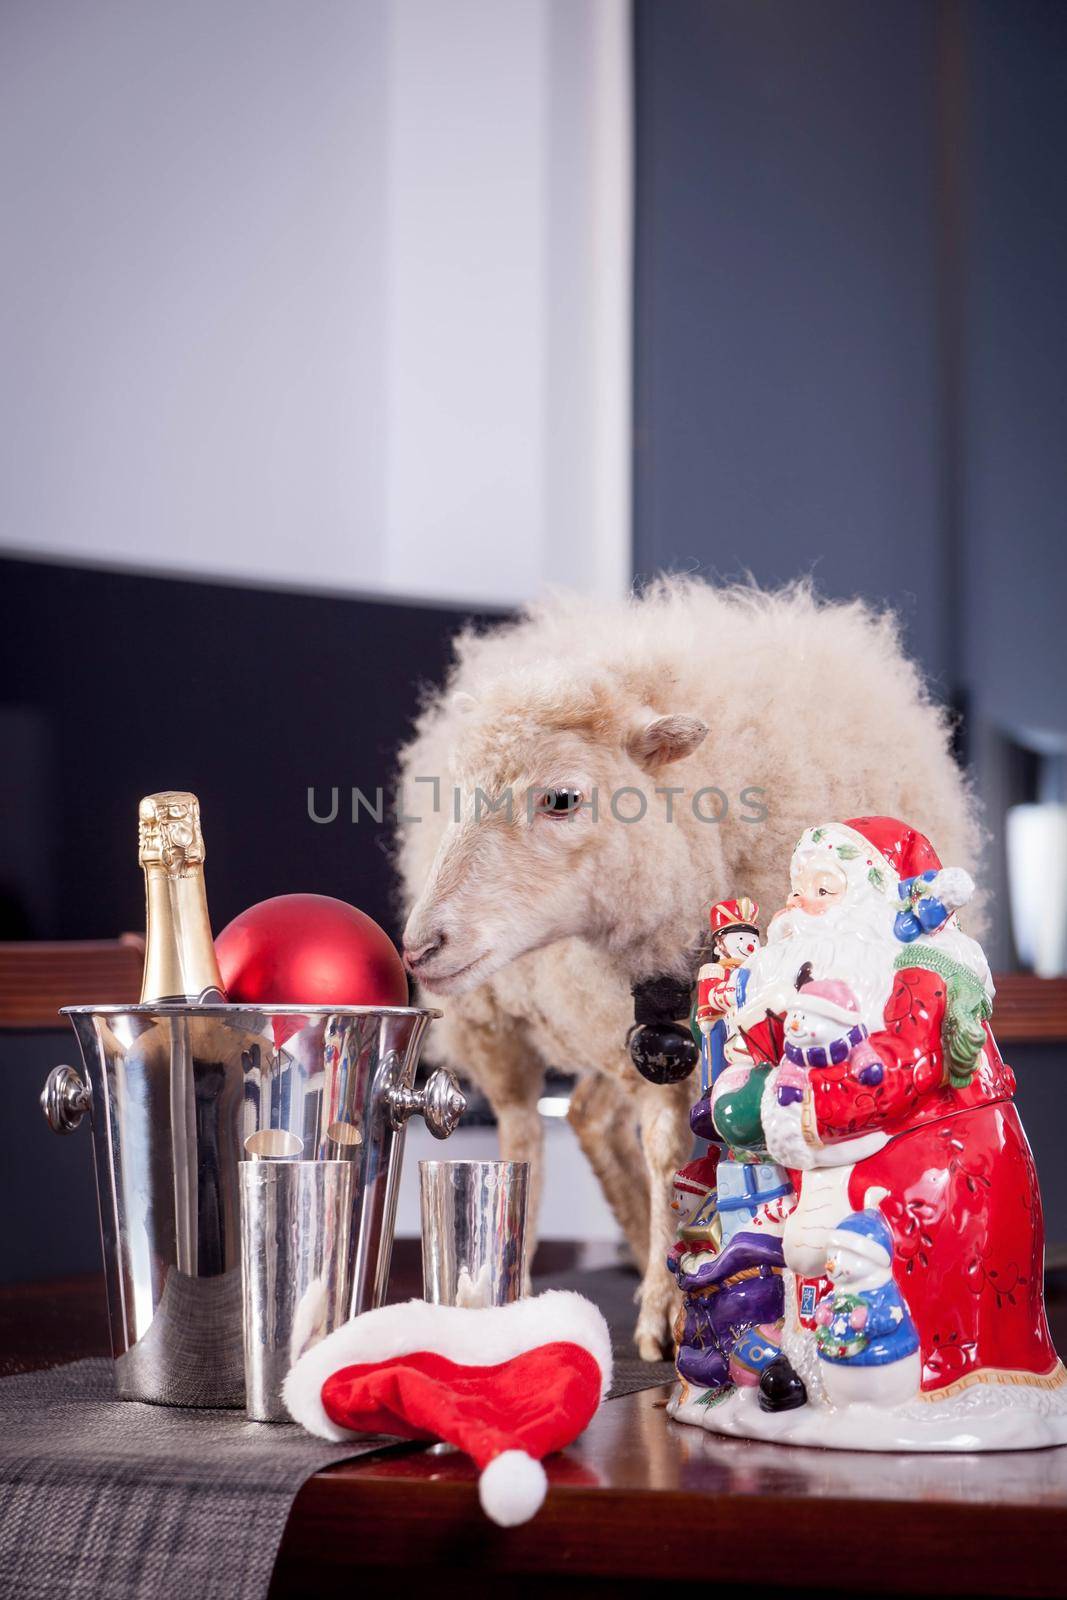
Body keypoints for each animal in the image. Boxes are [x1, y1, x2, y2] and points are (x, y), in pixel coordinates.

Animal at [396, 582, 979, 1356]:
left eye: (561, 798)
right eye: (458, 793)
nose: (418, 946)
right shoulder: (645, 1020)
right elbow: (666, 1147)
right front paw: (666, 1306)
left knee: (584, 1114)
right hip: (495, 1018)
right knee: (523, 1131)